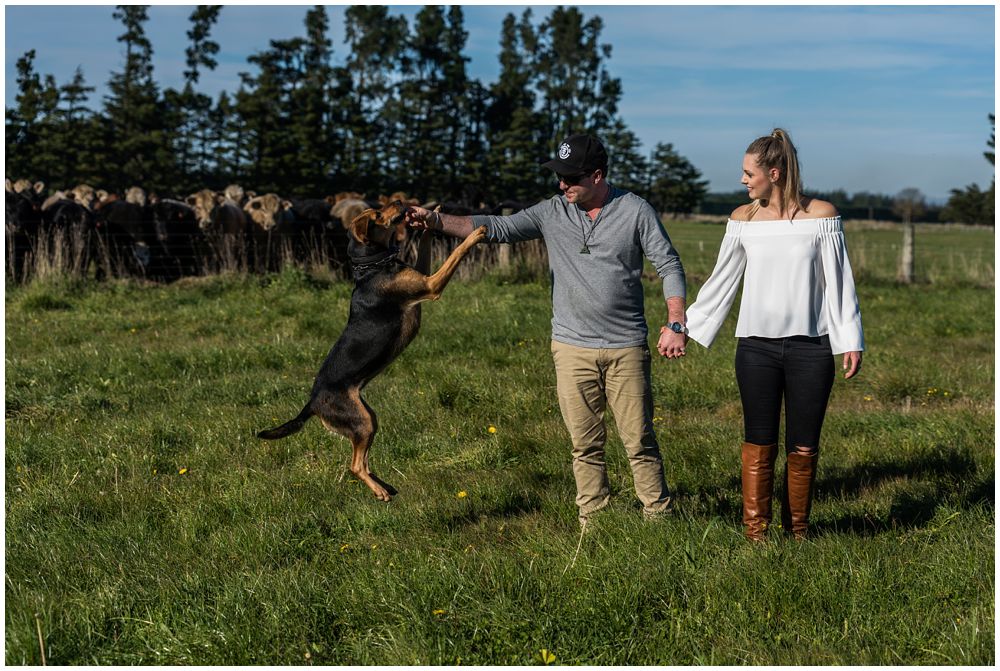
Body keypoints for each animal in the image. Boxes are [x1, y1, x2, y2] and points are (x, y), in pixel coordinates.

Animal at [258, 200, 484, 498]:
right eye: (378, 214)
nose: (400, 202)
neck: (372, 265)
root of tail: (312, 403)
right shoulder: (430, 285)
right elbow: (457, 252)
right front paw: (476, 234)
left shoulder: (422, 277)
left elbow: (424, 246)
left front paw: (429, 219)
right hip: (362, 420)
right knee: (355, 466)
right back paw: (380, 491)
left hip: (368, 417)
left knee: (361, 461)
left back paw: (383, 485)